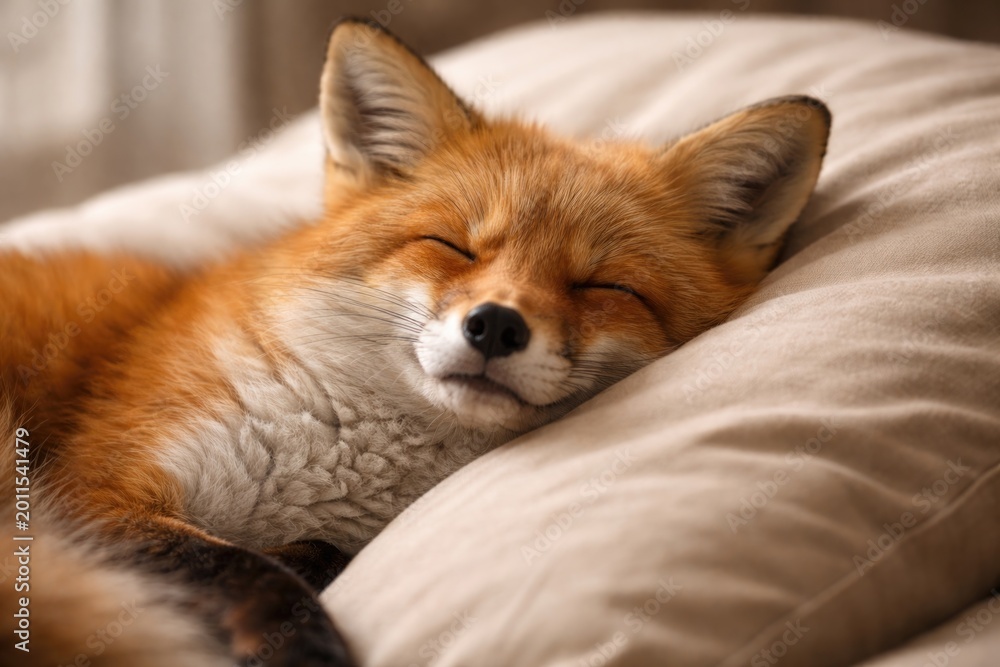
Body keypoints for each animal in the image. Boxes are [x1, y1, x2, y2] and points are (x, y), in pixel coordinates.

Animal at [0, 18, 830, 667]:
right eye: (451, 245)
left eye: (602, 286)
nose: (496, 324)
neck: (335, 461)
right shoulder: (88, 488)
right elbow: (238, 563)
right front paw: (307, 645)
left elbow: (302, 555)